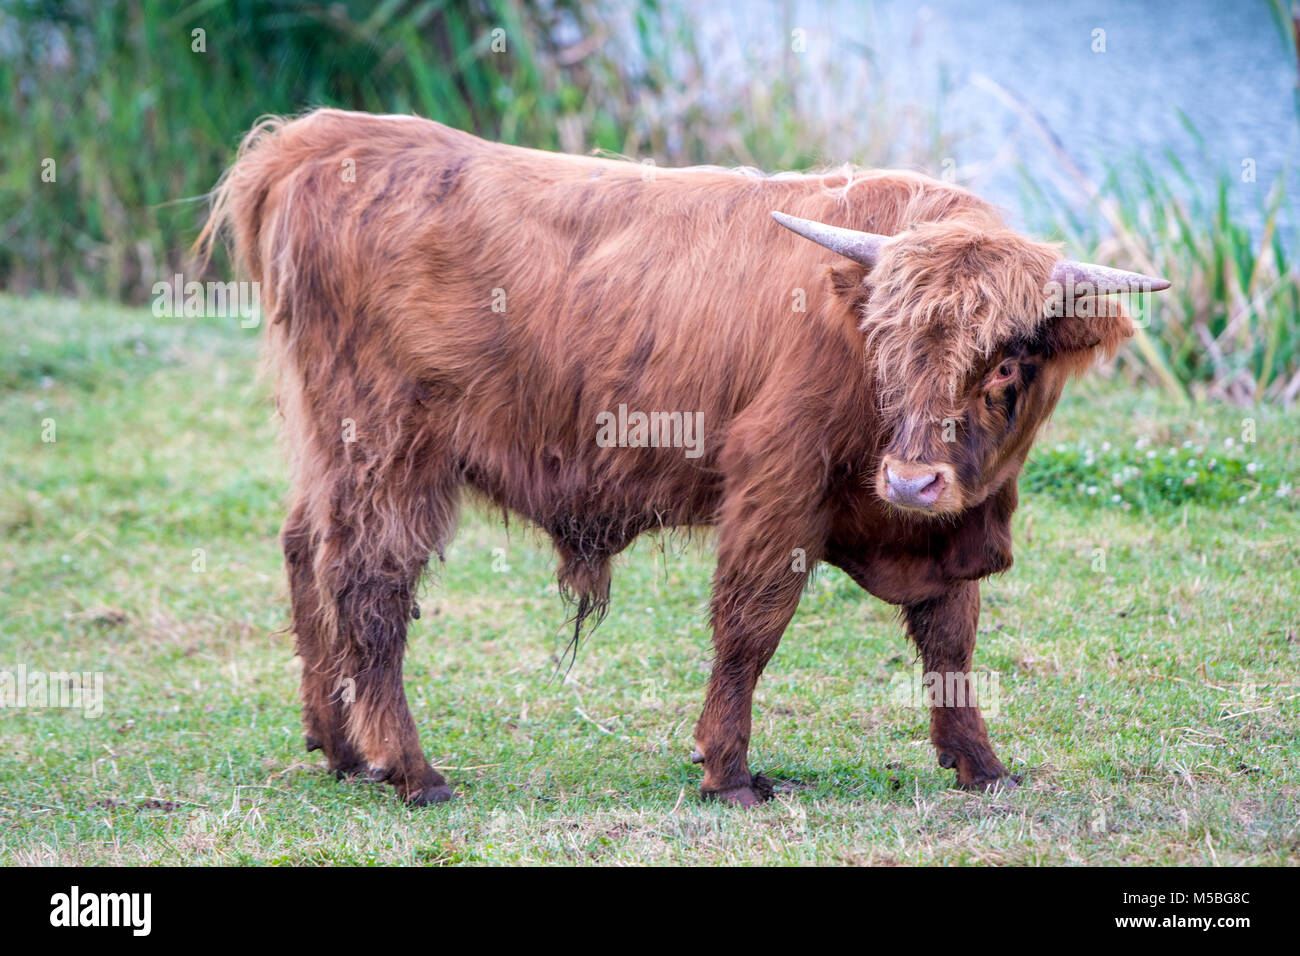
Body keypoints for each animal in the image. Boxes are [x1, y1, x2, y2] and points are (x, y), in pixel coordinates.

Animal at [197, 108, 1175, 806]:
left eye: (1006, 361)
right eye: (887, 347)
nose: (910, 477)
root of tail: (322, 137)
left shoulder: (949, 515)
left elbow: (950, 634)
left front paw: (979, 762)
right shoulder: (777, 483)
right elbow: (751, 626)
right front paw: (729, 772)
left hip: (331, 447)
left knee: (304, 550)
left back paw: (338, 747)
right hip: (388, 448)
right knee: (369, 585)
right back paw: (412, 771)